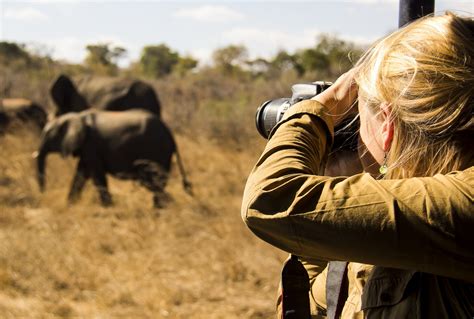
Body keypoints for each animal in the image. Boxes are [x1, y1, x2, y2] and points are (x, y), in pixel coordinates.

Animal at [32, 109, 193, 209]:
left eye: (46, 135)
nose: (43, 194)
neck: (76, 117)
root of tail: (170, 134)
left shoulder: (92, 145)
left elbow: (96, 176)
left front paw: (109, 208)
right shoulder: (87, 149)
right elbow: (81, 174)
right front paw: (69, 205)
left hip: (157, 151)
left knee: (152, 181)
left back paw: (161, 208)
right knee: (155, 183)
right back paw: (161, 208)